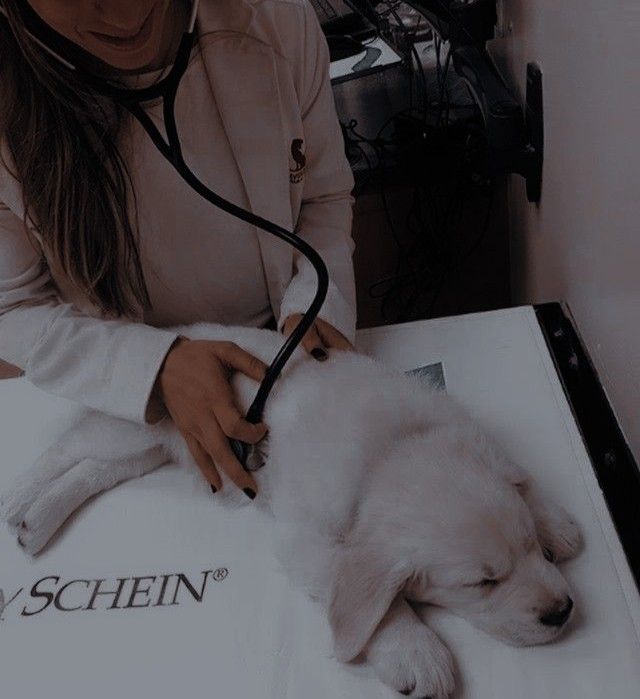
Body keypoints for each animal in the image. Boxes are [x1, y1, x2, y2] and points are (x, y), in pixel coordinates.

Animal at [0, 324, 580, 699]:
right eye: (481, 583)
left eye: (532, 549)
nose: (563, 611)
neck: (390, 447)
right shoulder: (307, 540)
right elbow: (368, 601)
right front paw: (415, 650)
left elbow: (520, 477)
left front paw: (556, 522)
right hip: (132, 430)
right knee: (66, 453)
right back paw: (19, 501)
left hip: (161, 451)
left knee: (94, 471)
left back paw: (36, 521)